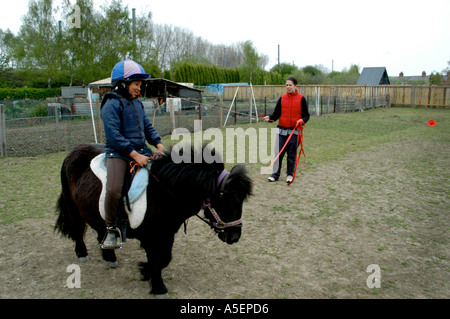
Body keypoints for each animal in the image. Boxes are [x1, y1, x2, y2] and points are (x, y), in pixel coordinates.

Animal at [55, 143, 253, 298]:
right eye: (229, 202)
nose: (235, 236)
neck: (162, 192)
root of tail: (74, 150)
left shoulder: (166, 235)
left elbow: (164, 259)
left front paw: (145, 271)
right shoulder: (151, 238)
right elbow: (158, 260)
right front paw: (158, 287)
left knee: (100, 231)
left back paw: (109, 256)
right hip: (72, 206)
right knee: (77, 229)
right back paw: (82, 253)